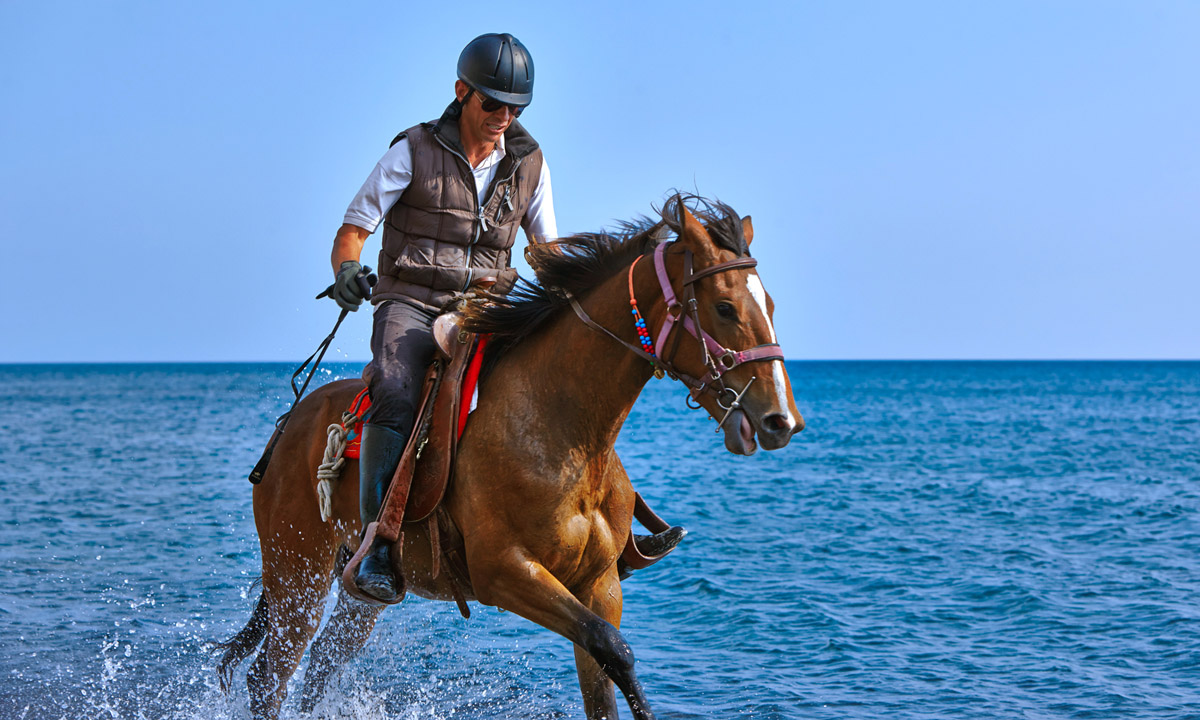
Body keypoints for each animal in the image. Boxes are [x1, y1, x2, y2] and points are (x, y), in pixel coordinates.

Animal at [220, 194, 811, 715]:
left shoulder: (599, 584)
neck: (562, 430)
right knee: (267, 678)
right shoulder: (504, 572)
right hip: (297, 575)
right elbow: (614, 650)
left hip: (356, 590)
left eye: (770, 304)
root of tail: (290, 424)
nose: (781, 419)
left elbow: (604, 679)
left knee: (319, 667)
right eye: (725, 307)